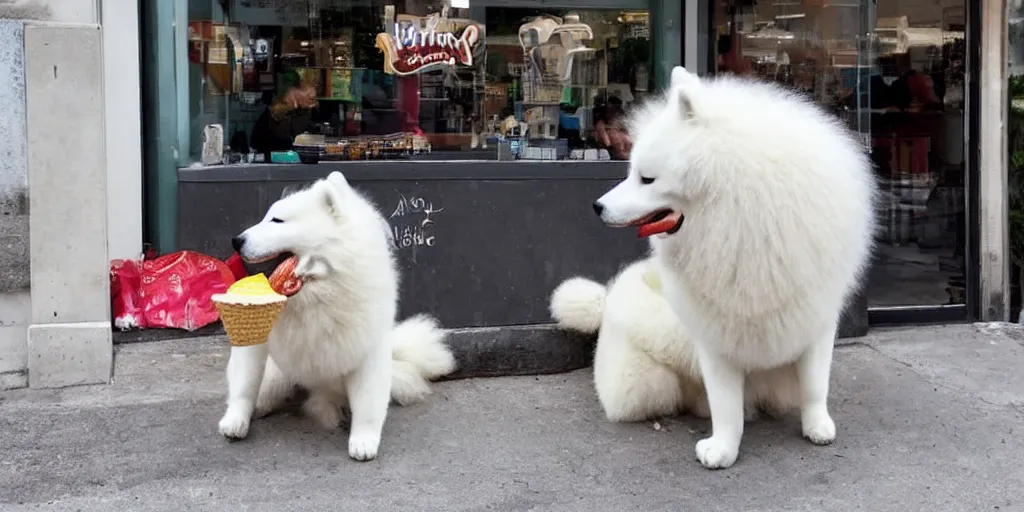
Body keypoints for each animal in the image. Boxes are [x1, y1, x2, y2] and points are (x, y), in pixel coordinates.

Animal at [219, 171, 456, 460]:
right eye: (267, 217)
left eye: (277, 220)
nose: (236, 240)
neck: (319, 288)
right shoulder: (256, 341)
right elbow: (245, 384)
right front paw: (236, 421)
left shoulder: (368, 347)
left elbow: (368, 403)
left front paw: (364, 440)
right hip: (277, 373)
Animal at [598, 67, 876, 468]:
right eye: (632, 171)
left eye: (646, 178)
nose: (597, 206)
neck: (740, 221)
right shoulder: (716, 337)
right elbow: (725, 405)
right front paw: (723, 449)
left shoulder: (816, 320)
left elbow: (814, 384)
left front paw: (817, 427)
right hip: (645, 381)